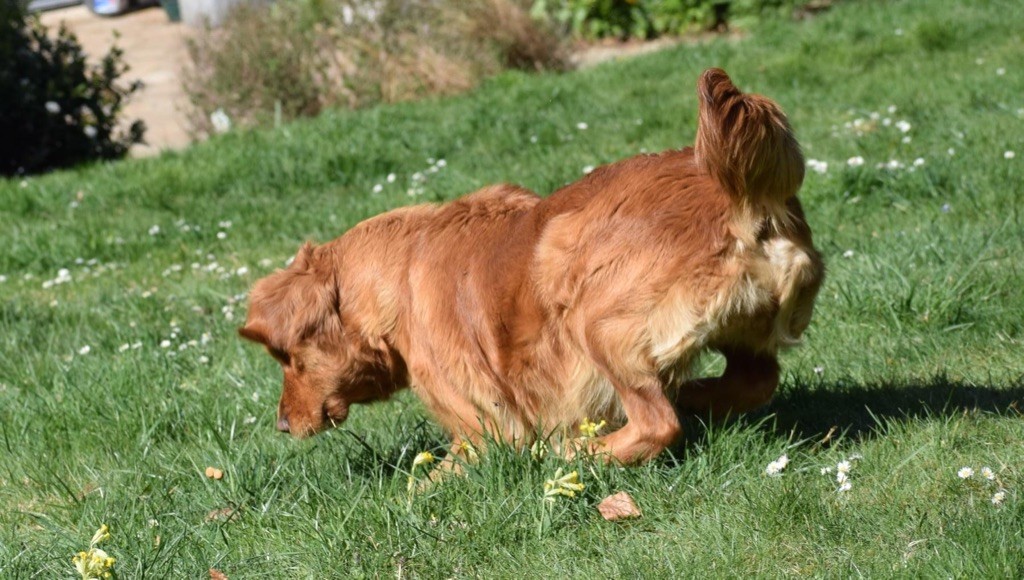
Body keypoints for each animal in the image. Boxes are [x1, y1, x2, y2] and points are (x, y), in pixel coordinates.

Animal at [239, 69, 823, 469]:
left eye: (287, 358)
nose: (282, 425)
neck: (398, 273)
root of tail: (739, 193)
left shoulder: (483, 434)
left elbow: (423, 484)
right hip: (744, 326)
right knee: (755, 380)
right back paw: (698, 397)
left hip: (589, 310)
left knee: (657, 423)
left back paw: (579, 451)